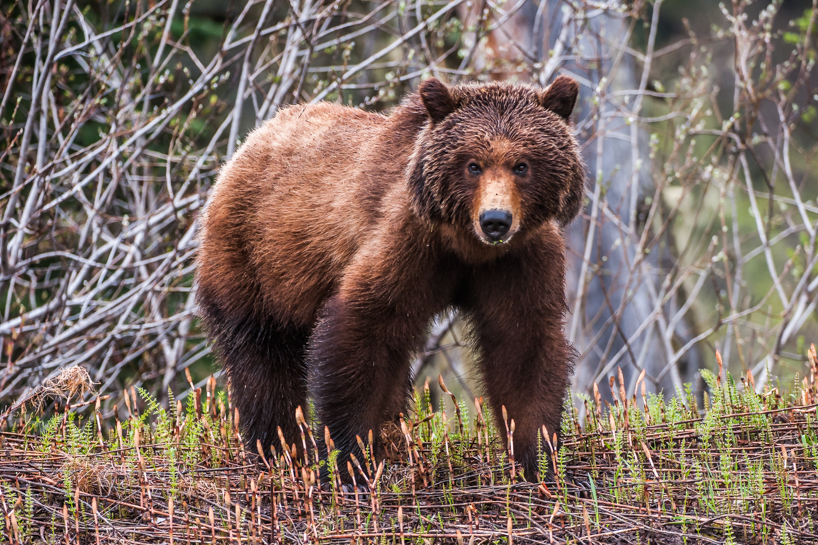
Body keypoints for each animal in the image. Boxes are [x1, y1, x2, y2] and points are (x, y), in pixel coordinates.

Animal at [195, 75, 585, 481]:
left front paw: (538, 457)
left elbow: (523, 344)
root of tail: (252, 140)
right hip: (256, 257)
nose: (496, 220)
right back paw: (281, 449)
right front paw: (350, 458)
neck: (467, 249)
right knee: (262, 354)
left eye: (522, 164)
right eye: (473, 164)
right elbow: (362, 328)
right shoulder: (408, 243)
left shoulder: (517, 262)